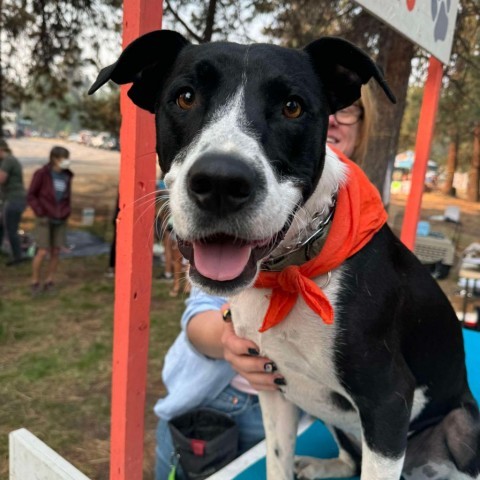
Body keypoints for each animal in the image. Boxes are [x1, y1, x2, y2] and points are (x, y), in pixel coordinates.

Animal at [91, 31, 480, 480]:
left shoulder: (388, 403)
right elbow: (277, 460)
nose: (221, 182)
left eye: (292, 106)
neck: (288, 273)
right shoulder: (274, 386)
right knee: (350, 459)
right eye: (185, 97)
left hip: (460, 424)